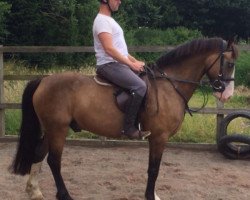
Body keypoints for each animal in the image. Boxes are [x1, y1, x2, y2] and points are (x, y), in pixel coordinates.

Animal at [9, 37, 238, 200]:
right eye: (229, 63)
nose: (227, 95)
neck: (168, 86)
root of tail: (43, 81)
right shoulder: (159, 137)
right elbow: (154, 169)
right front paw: (150, 196)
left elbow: (153, 168)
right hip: (58, 129)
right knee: (54, 161)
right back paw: (64, 195)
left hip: (51, 128)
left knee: (39, 155)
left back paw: (34, 191)